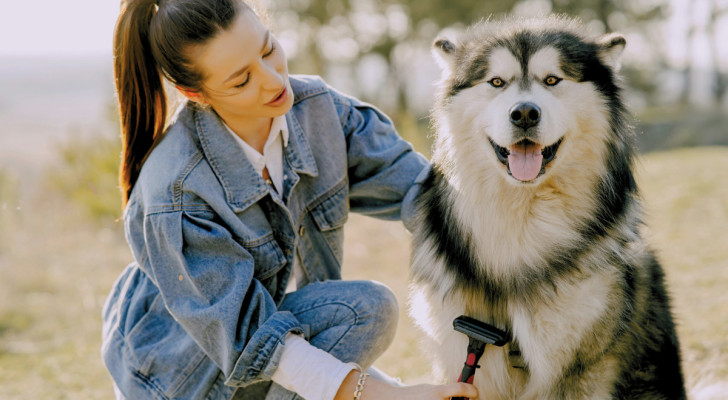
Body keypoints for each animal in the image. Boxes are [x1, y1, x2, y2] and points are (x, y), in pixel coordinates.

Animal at [410, 16, 688, 400]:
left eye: (552, 80)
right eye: (496, 82)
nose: (525, 112)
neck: (525, 218)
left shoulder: (580, 367)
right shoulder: (465, 355)